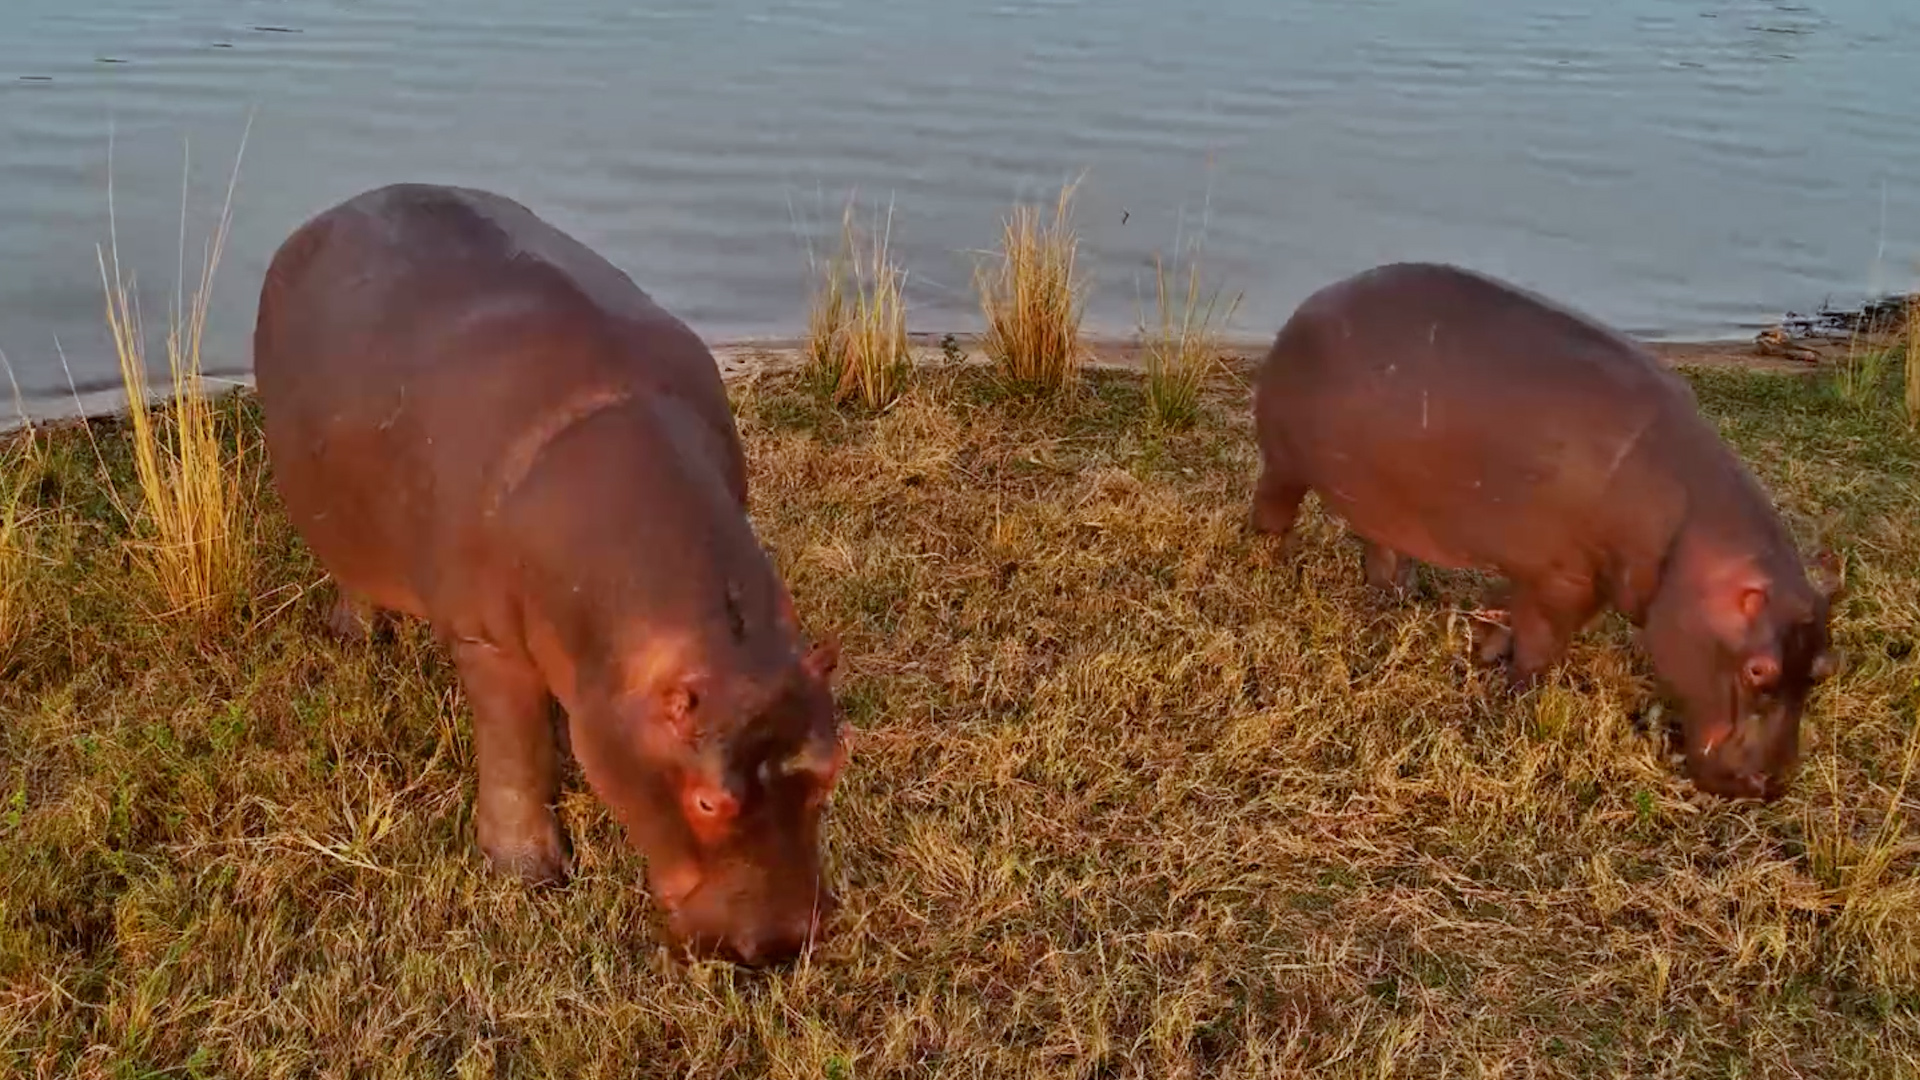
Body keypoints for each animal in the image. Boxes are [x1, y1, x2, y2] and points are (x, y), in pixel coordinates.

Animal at [252, 183, 851, 965]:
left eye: (835, 764)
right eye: (706, 801)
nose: (780, 945)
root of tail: (333, 212)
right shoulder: (487, 641)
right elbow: (516, 752)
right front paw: (528, 876)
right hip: (338, 525)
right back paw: (357, 637)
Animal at [1250, 261, 1841, 801]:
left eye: (1825, 667)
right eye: (1759, 671)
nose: (1769, 785)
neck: (1691, 540)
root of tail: (1318, 297)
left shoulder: (1580, 575)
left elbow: (1511, 614)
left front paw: (1486, 651)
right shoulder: (1564, 576)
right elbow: (1541, 642)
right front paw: (1516, 698)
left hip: (1385, 498)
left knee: (1384, 547)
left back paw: (1397, 597)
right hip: (1285, 463)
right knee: (1274, 505)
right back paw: (1270, 559)